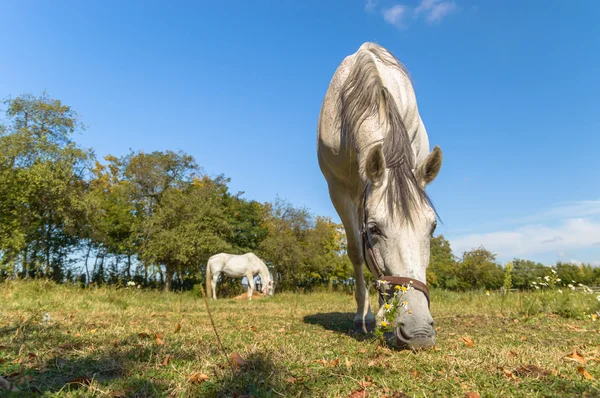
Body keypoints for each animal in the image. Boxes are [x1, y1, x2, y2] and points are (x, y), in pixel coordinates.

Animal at [316, 42, 442, 348]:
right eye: (374, 229)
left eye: (432, 228)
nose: (419, 332)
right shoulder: (339, 189)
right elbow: (356, 252)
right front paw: (366, 317)